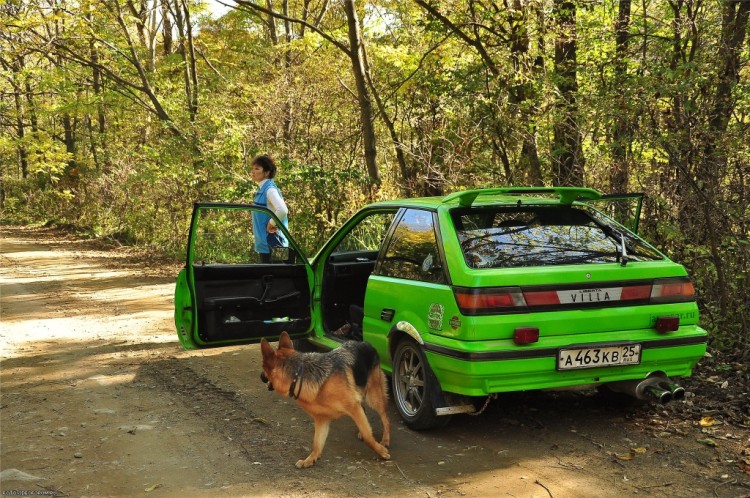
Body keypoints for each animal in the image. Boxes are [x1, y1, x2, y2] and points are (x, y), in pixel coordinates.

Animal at [260, 330, 390, 466]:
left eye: (263, 367)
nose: (260, 376)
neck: (298, 375)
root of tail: (365, 343)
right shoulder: (322, 419)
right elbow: (317, 444)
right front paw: (310, 459)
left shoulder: (353, 406)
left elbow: (368, 436)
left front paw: (381, 451)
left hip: (373, 397)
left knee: (385, 417)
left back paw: (385, 440)